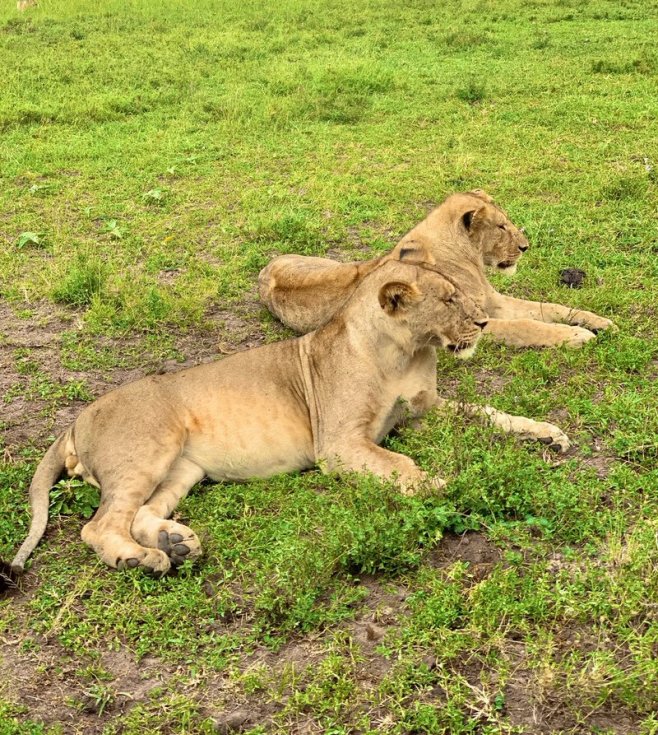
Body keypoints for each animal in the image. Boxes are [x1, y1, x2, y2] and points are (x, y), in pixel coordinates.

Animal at [7, 262, 568, 576]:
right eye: (449, 299)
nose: (484, 322)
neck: (404, 352)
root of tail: (75, 421)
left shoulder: (422, 412)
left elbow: (491, 413)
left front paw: (548, 434)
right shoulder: (338, 445)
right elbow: (404, 466)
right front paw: (450, 490)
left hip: (183, 469)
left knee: (140, 514)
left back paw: (176, 543)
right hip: (150, 447)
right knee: (99, 525)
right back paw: (143, 559)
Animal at [256, 191, 608, 350]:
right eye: (501, 226)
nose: (525, 247)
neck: (466, 255)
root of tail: (264, 272)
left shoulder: (493, 303)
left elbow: (550, 307)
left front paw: (599, 321)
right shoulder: (472, 318)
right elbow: (528, 326)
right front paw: (576, 335)